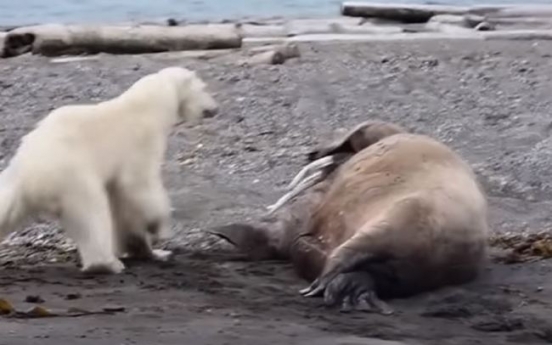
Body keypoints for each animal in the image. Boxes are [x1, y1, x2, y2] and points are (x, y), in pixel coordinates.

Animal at [0, 66, 219, 272]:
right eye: (204, 88)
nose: (215, 109)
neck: (150, 105)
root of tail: (27, 173)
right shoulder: (141, 142)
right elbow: (138, 184)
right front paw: (159, 226)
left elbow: (122, 204)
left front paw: (147, 249)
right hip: (72, 175)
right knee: (93, 213)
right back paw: (108, 263)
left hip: (20, 183)